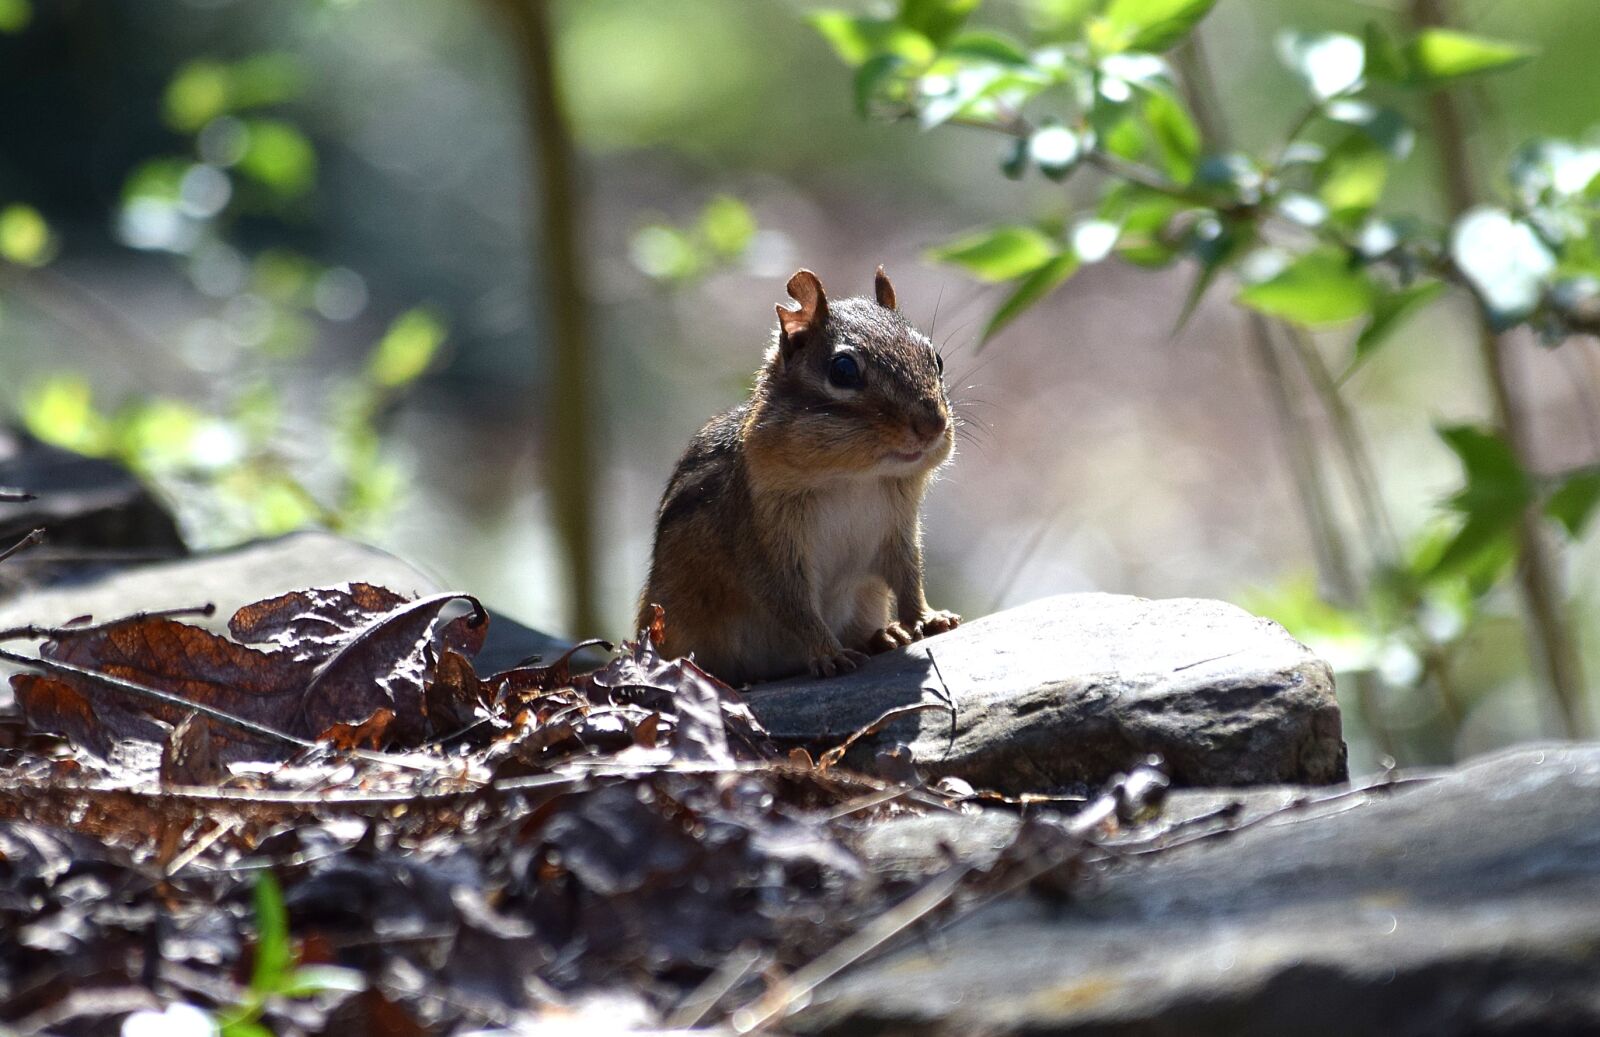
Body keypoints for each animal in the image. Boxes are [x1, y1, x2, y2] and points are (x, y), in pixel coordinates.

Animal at [637, 266, 961, 685]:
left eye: (936, 358)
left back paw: (882, 635)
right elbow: (792, 604)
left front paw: (926, 618)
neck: (855, 479)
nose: (932, 425)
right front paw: (829, 653)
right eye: (843, 370)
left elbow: (909, 577)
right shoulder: (766, 545)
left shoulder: (898, 531)